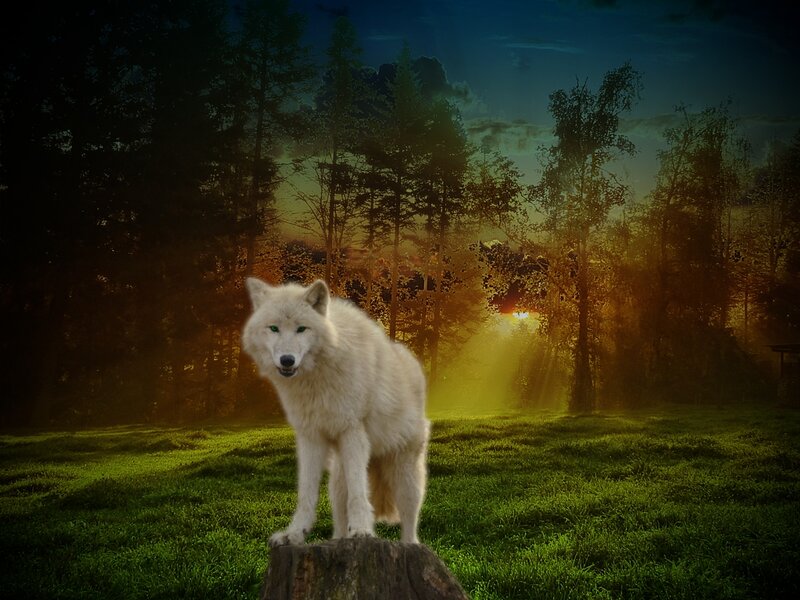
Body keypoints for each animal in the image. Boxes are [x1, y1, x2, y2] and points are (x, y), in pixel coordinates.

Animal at [242, 278, 430, 546]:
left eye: (302, 329)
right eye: (274, 328)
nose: (287, 360)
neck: (316, 378)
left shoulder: (353, 432)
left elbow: (359, 494)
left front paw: (362, 531)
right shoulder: (310, 437)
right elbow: (306, 493)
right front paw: (294, 533)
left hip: (406, 476)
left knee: (409, 520)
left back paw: (409, 544)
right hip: (337, 481)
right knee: (340, 516)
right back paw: (339, 539)